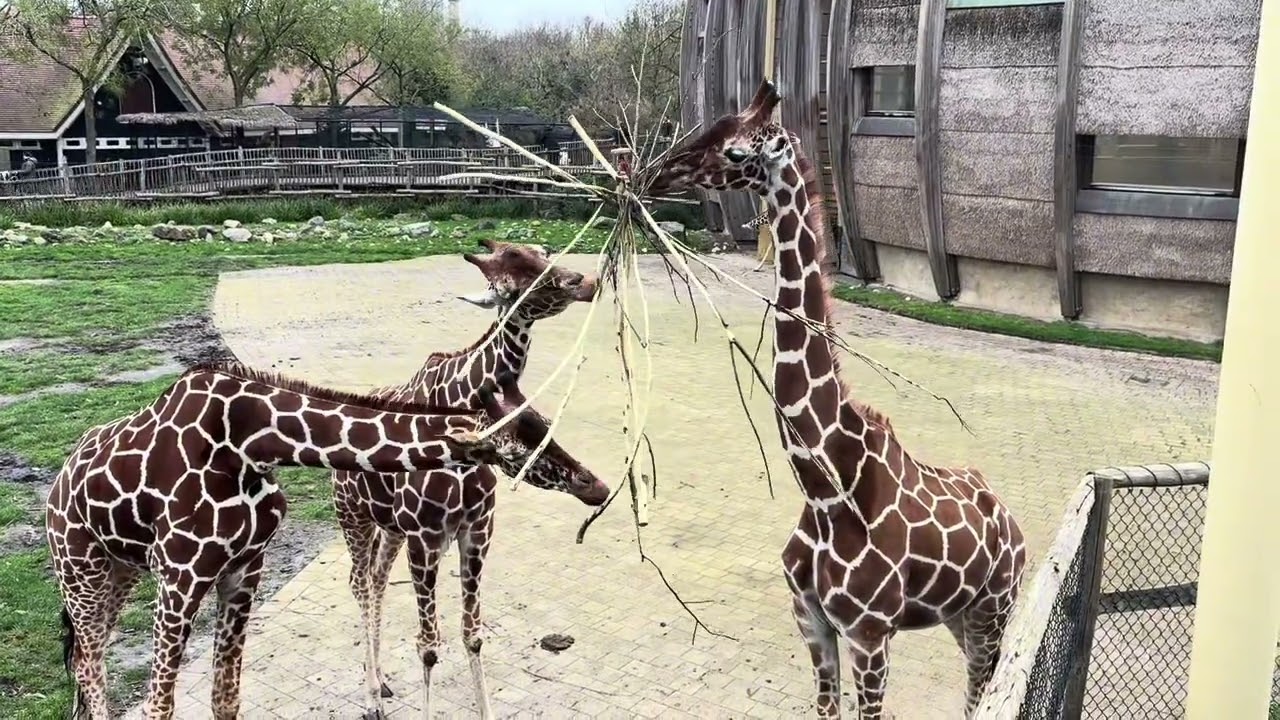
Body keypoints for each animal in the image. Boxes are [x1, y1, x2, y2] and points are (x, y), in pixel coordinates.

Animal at [45, 359, 592, 720]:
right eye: (520, 440)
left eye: (545, 422)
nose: (594, 485)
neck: (250, 442)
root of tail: (57, 485)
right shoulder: (181, 575)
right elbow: (158, 706)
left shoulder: (245, 568)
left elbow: (226, 699)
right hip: (80, 569)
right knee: (91, 668)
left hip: (118, 572)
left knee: (88, 665)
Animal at [331, 238, 603, 720]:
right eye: (516, 277)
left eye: (542, 251)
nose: (587, 281)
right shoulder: (425, 538)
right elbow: (427, 645)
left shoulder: (475, 530)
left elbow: (472, 635)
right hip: (353, 518)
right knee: (359, 584)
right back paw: (370, 698)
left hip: (389, 528)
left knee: (376, 582)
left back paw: (382, 683)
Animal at [648, 80, 1026, 719]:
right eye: (711, 124)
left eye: (735, 151)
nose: (657, 172)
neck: (826, 489)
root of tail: (1011, 520)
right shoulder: (811, 619)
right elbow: (826, 708)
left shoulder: (870, 633)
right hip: (958, 612)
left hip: (995, 605)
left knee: (982, 689)